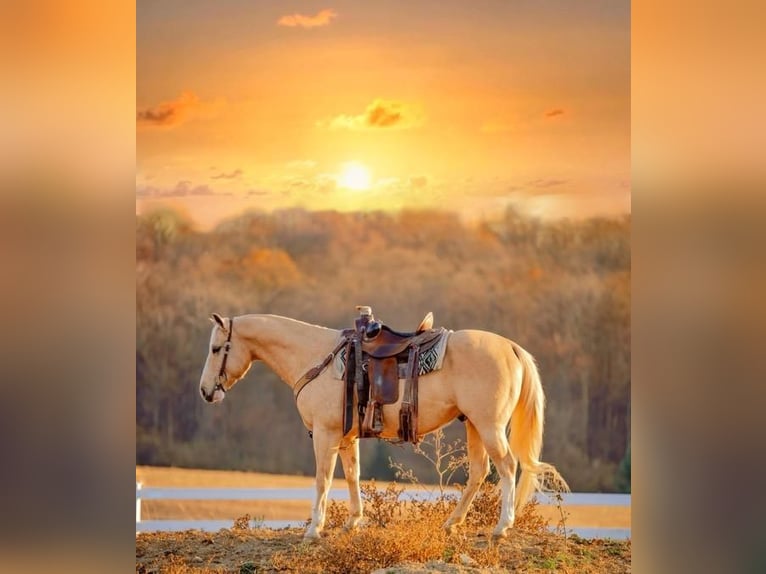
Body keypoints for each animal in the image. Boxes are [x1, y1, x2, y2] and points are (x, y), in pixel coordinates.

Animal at [198, 312, 568, 540]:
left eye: (216, 348)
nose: (205, 391)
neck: (316, 356)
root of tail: (511, 347)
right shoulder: (346, 437)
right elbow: (352, 475)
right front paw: (352, 522)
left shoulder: (325, 435)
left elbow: (322, 480)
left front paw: (314, 529)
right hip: (475, 426)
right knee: (480, 472)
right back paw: (452, 524)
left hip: (489, 426)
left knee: (506, 468)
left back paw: (501, 527)